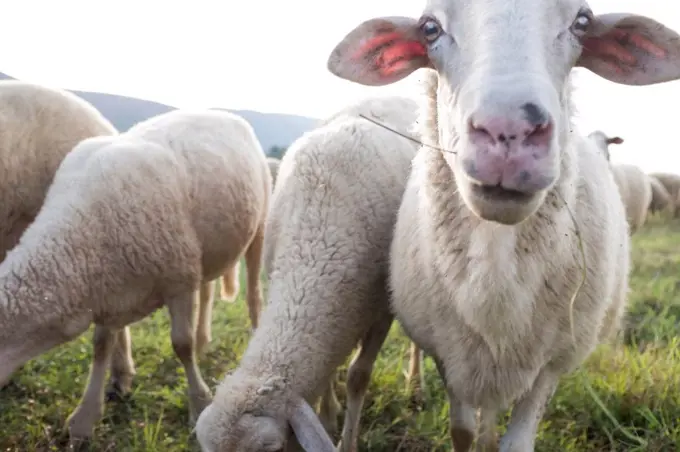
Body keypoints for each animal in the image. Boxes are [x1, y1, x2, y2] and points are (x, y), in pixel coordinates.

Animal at [0, 107, 270, 444]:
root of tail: (221, 112)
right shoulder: (109, 291)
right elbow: (101, 346)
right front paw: (85, 418)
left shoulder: (179, 279)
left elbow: (181, 345)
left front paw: (199, 404)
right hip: (207, 251)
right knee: (207, 292)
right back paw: (203, 339)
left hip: (258, 228)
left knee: (253, 295)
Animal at [194, 95, 420, 452]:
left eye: (270, 450)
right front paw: (327, 415)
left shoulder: (382, 310)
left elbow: (358, 376)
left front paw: (348, 442)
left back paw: (415, 380)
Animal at [326, 2, 680, 448]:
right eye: (429, 28)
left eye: (582, 22)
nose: (509, 129)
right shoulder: (451, 355)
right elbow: (461, 432)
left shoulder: (551, 362)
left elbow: (515, 442)